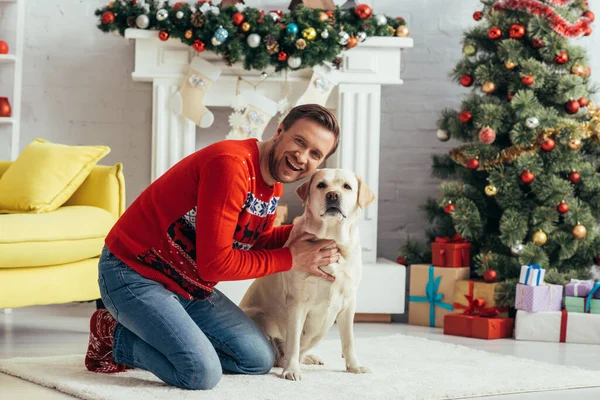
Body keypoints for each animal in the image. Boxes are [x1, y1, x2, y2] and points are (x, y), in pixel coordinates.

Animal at [239, 167, 376, 380]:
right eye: (321, 185)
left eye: (347, 186)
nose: (333, 195)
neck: (331, 239)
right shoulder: (297, 303)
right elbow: (293, 342)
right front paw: (291, 371)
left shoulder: (348, 303)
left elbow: (349, 340)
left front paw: (354, 366)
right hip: (261, 317)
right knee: (280, 350)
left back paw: (309, 358)